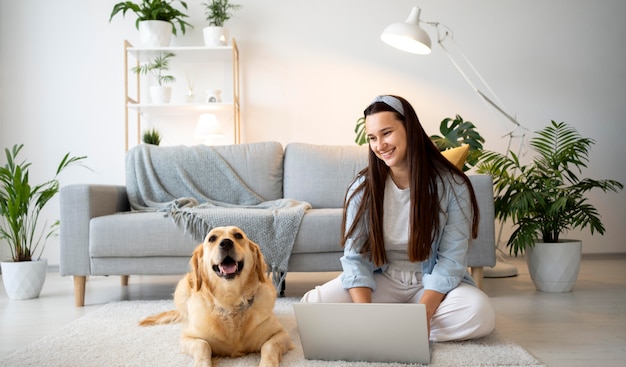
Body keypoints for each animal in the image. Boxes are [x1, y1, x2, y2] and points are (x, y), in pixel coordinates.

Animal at [139, 226, 292, 366]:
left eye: (238, 235)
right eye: (212, 238)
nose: (226, 243)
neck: (230, 301)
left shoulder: (280, 334)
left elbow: (269, 346)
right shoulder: (188, 337)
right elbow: (203, 345)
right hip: (181, 289)